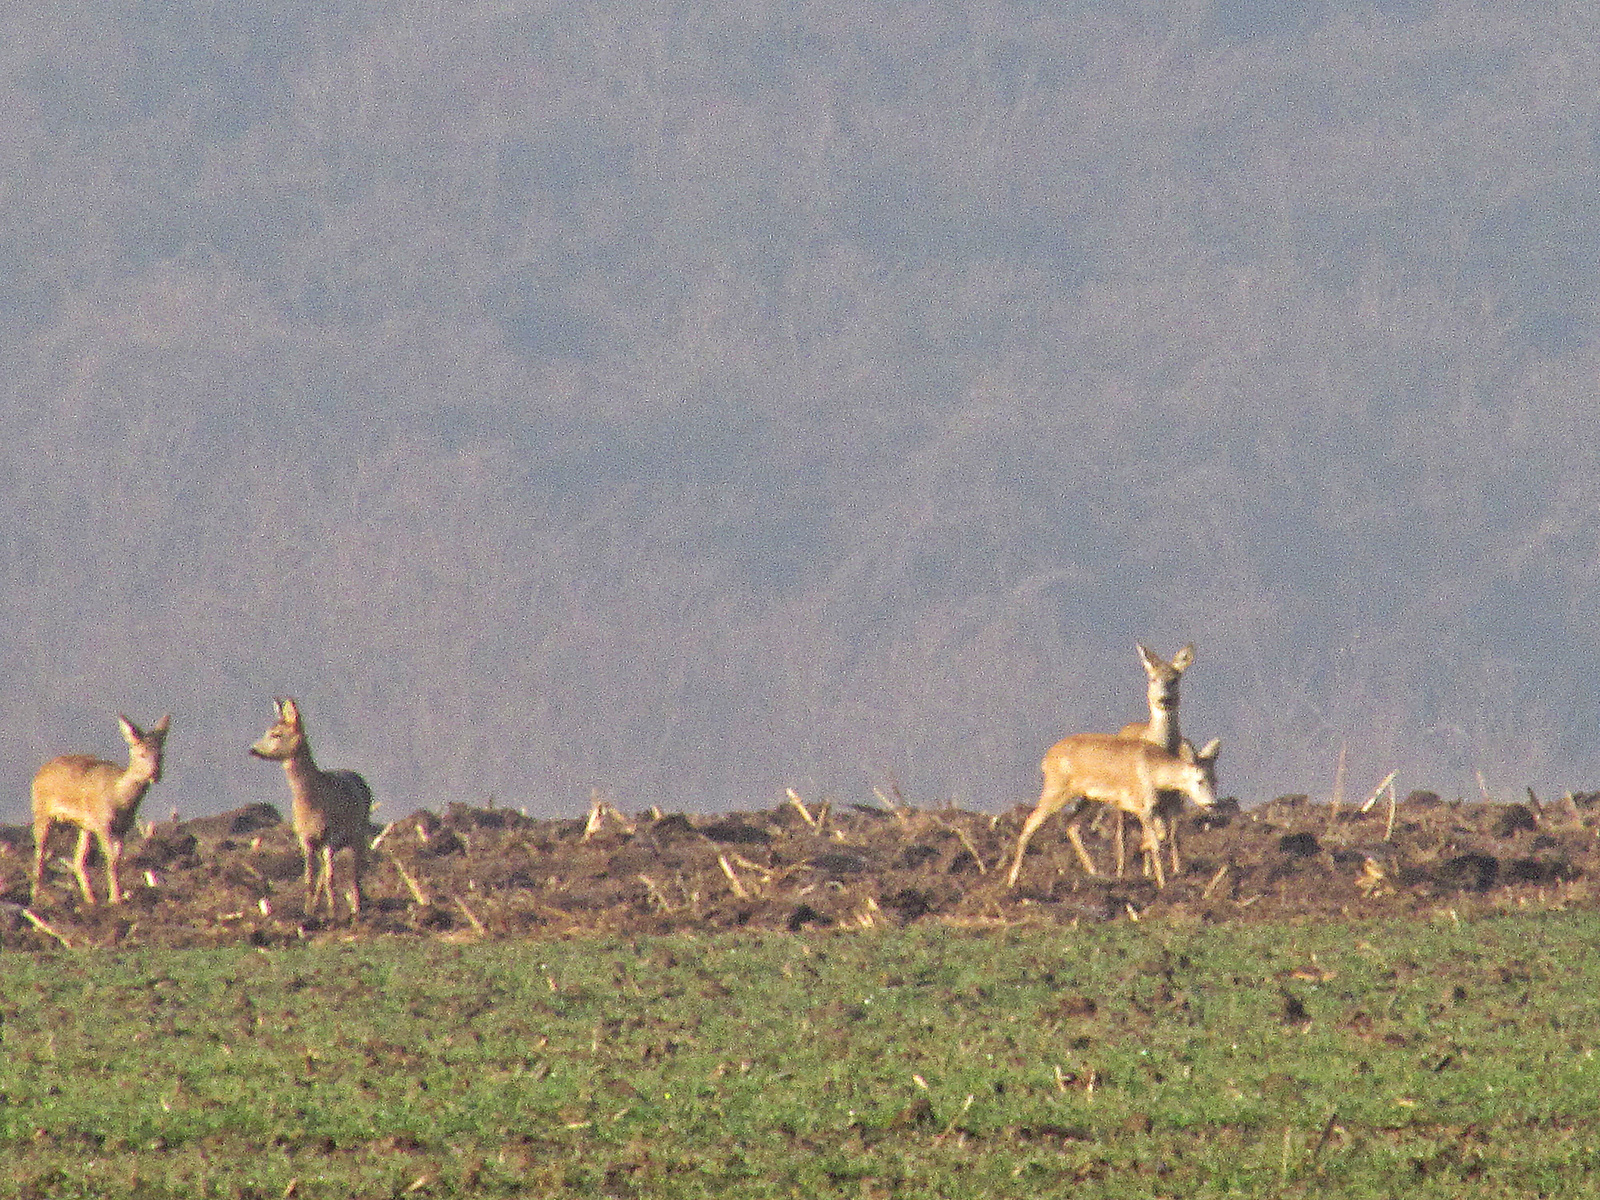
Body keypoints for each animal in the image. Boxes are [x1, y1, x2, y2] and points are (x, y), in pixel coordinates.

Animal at [31, 713, 172, 902]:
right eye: (141, 754)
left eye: (161, 754)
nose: (155, 774)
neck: (120, 799)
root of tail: (40, 771)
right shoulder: (102, 824)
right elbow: (110, 858)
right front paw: (116, 898)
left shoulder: (122, 828)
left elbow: (117, 858)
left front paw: (116, 895)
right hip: (41, 811)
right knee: (40, 852)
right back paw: (37, 896)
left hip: (84, 826)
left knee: (78, 860)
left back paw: (91, 899)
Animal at [249, 694, 374, 921]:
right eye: (267, 731)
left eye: (276, 734)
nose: (253, 749)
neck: (312, 804)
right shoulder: (305, 838)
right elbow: (310, 878)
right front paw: (308, 911)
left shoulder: (331, 835)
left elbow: (332, 877)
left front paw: (334, 913)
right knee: (325, 873)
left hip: (358, 832)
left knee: (355, 871)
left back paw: (357, 908)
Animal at [1004, 732, 1216, 896]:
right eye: (1199, 780)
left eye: (1214, 779)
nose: (1211, 804)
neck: (1153, 770)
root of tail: (1048, 757)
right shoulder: (1143, 809)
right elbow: (1156, 842)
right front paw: (1162, 883)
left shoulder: (1153, 811)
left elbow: (1161, 835)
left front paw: (1139, 851)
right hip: (1057, 792)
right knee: (1031, 821)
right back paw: (1012, 880)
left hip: (1090, 799)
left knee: (1071, 824)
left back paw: (1095, 872)